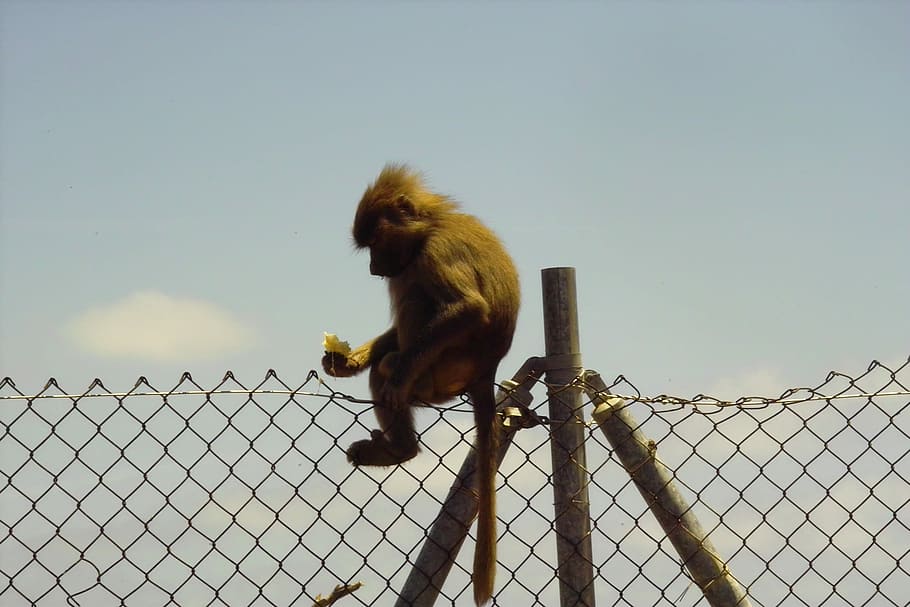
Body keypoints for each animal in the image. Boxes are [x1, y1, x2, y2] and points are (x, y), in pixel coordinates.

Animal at [322, 164, 520, 606]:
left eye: (375, 242)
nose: (374, 268)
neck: (432, 224)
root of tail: (487, 371)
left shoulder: (432, 252)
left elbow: (466, 308)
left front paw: (392, 378)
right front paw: (346, 361)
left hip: (440, 374)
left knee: (407, 312)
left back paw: (400, 447)